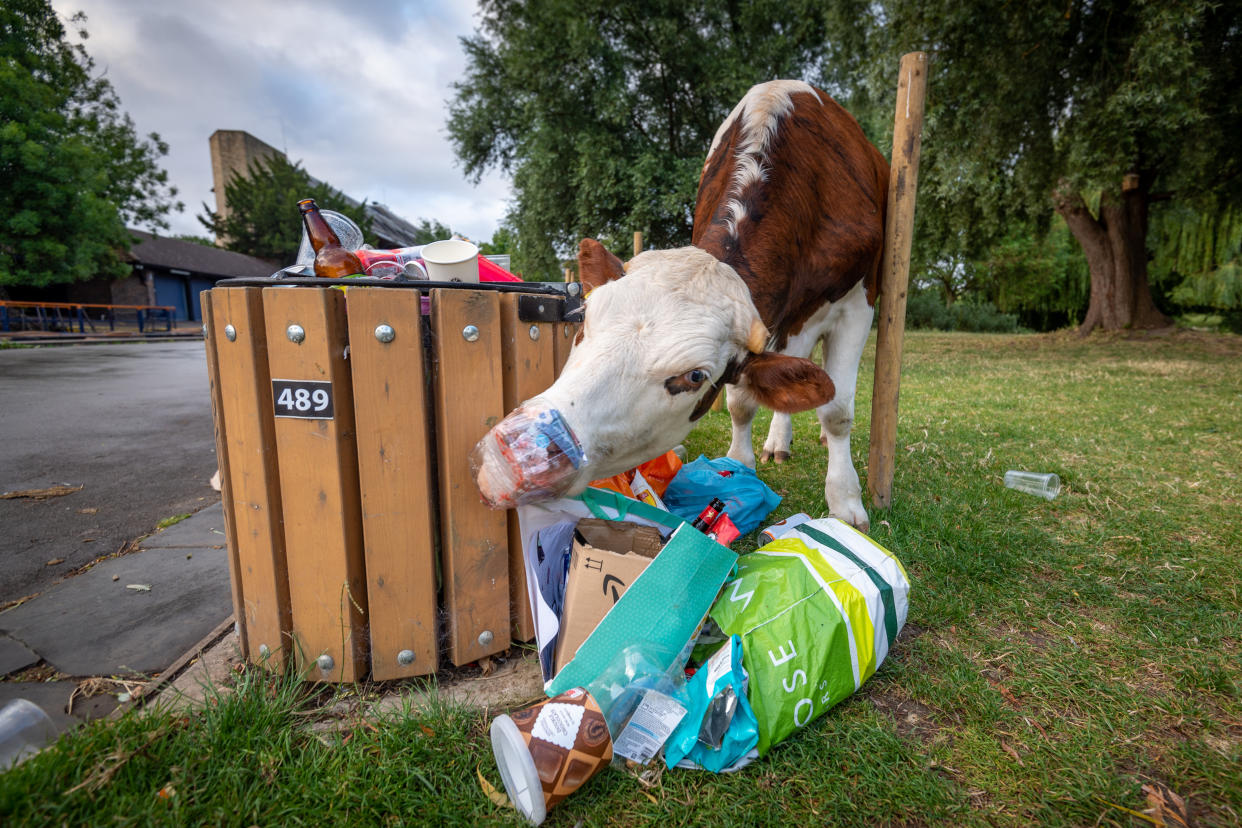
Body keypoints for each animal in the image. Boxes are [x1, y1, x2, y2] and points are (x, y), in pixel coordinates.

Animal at [469, 79, 889, 531]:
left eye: (694, 377)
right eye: (584, 322)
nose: (511, 456)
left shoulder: (858, 304)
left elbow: (838, 410)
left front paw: (846, 502)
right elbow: (741, 403)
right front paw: (739, 466)